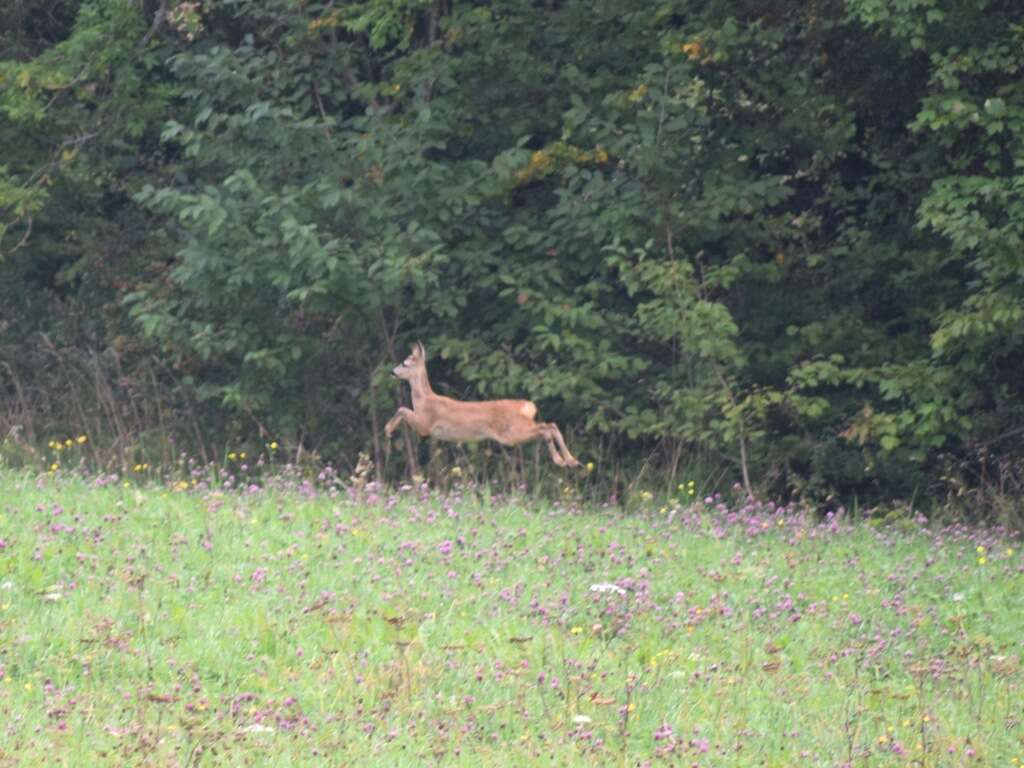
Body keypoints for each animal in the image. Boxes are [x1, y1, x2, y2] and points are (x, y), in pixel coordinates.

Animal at [385, 344, 581, 468]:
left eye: (404, 363)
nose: (392, 372)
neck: (424, 400)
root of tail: (526, 406)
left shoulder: (425, 425)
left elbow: (402, 408)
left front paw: (388, 430)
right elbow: (402, 409)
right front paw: (389, 430)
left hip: (511, 432)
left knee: (546, 428)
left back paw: (561, 460)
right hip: (517, 428)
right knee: (551, 425)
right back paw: (571, 461)